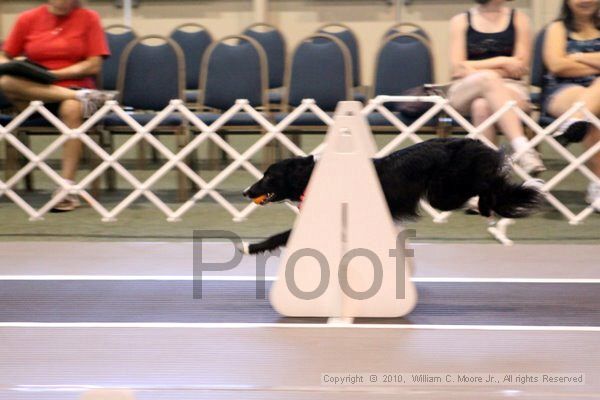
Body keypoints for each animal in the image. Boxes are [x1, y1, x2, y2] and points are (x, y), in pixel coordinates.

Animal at [240, 139, 544, 255]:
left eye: (268, 176)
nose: (246, 191)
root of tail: (476, 144)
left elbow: (280, 235)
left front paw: (251, 246)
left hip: (442, 193)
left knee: (487, 186)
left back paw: (488, 204)